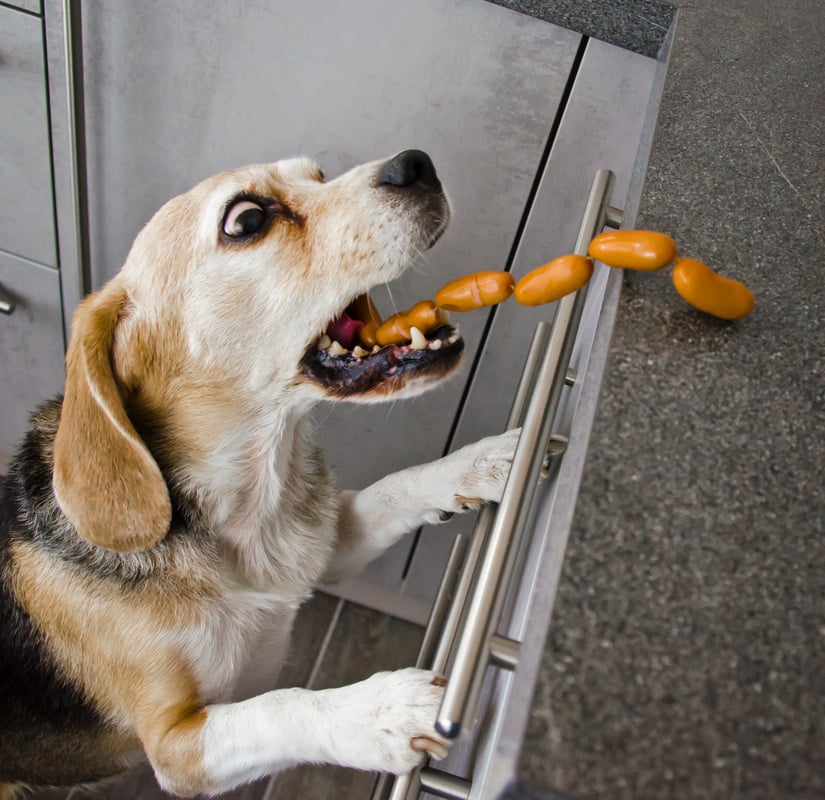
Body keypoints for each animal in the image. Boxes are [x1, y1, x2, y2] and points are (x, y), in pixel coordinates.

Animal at [0, 148, 516, 792]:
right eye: (247, 220)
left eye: (317, 176)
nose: (416, 163)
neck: (248, 503)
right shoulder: (177, 747)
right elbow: (283, 706)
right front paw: (383, 711)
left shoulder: (324, 543)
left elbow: (394, 489)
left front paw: (484, 460)